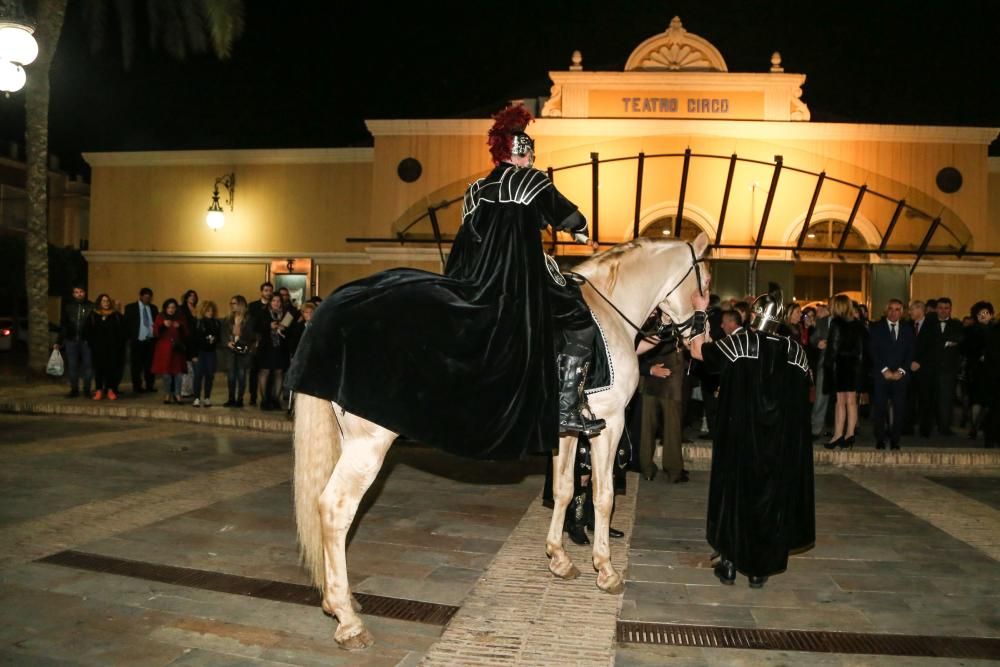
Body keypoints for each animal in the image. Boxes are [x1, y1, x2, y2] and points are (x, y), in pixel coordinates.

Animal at [292, 232, 712, 648]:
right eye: (706, 282)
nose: (700, 342)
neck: (610, 310)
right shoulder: (609, 423)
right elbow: (603, 497)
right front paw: (606, 570)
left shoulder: (569, 430)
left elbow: (563, 489)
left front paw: (559, 558)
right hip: (369, 442)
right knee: (335, 509)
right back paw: (347, 621)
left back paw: (341, 601)